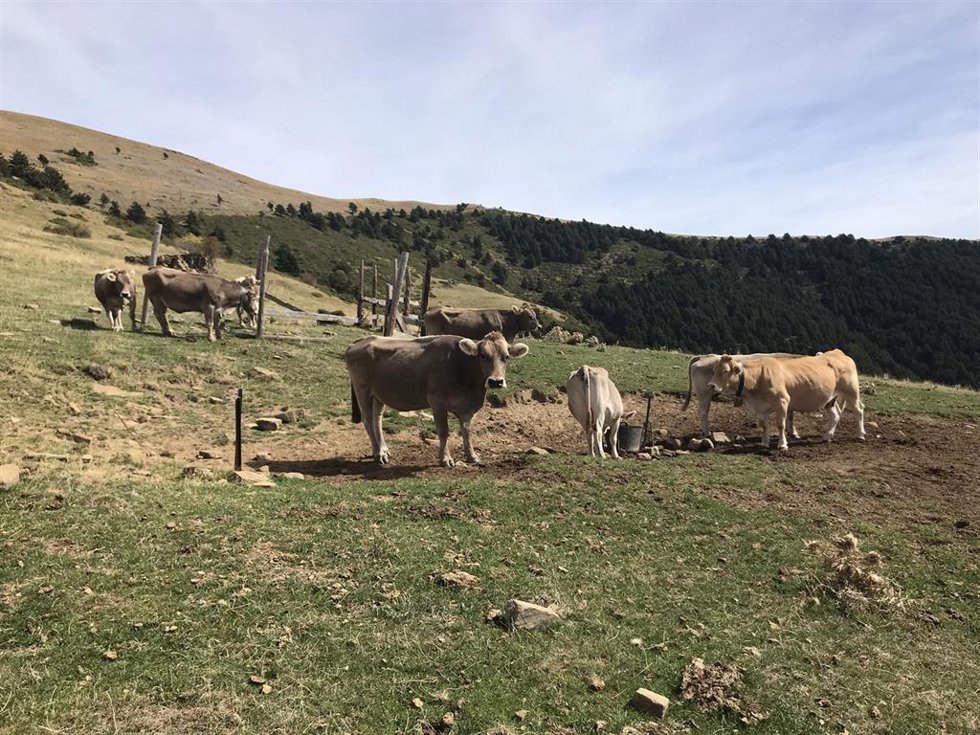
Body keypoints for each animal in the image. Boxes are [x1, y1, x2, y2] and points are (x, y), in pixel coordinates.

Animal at [346, 331, 529, 468]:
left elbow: (467, 431)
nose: (496, 381)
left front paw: (472, 456)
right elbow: (443, 431)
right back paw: (378, 454)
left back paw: (383, 449)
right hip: (363, 389)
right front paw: (445, 459)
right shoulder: (437, 401)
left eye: (506, 357)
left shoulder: (467, 407)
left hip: (379, 394)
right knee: (368, 420)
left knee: (377, 419)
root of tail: (359, 341)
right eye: (483, 355)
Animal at [706, 350, 866, 451]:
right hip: (830, 398)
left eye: (726, 371)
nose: (711, 385)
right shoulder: (761, 408)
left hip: (851, 391)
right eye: (713, 370)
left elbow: (780, 425)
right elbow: (764, 425)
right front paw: (764, 443)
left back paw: (860, 435)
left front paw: (782, 445)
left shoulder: (782, 402)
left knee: (858, 410)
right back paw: (827, 436)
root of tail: (839, 353)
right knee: (835, 415)